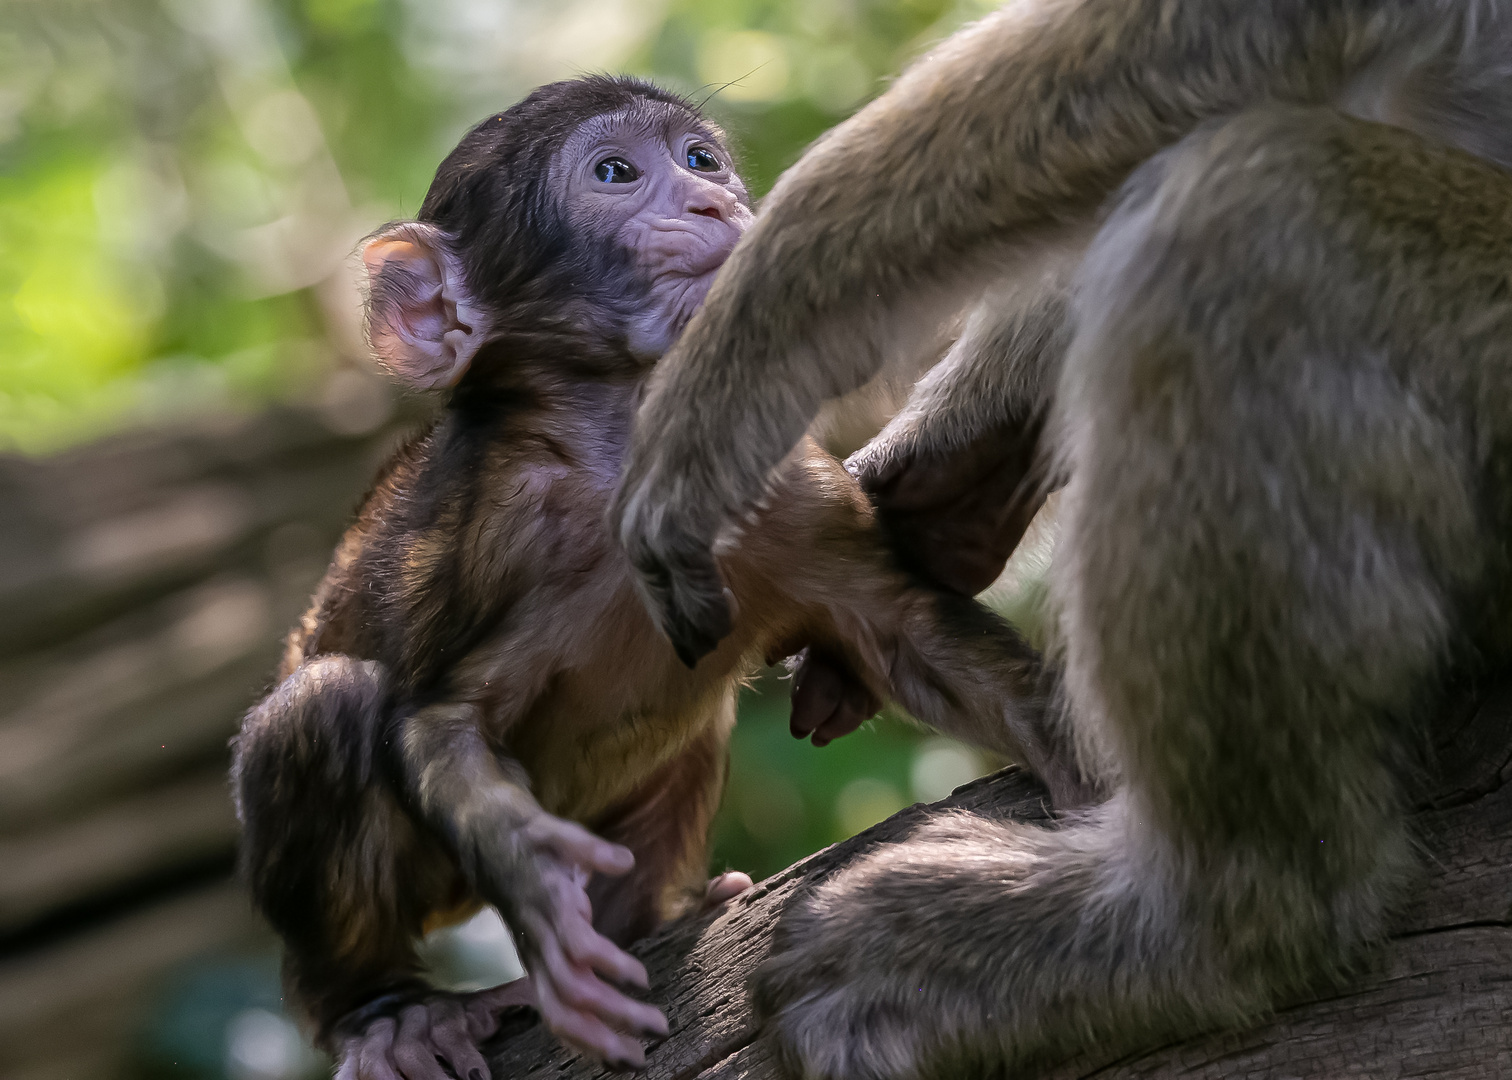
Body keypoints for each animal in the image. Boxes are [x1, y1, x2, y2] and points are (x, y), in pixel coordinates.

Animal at [232, 79, 1064, 1076]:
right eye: (615, 173)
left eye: (702, 159)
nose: (714, 203)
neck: (626, 455)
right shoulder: (494, 531)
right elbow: (438, 722)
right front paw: (538, 890)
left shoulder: (781, 484)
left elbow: (907, 628)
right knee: (321, 706)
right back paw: (385, 1012)